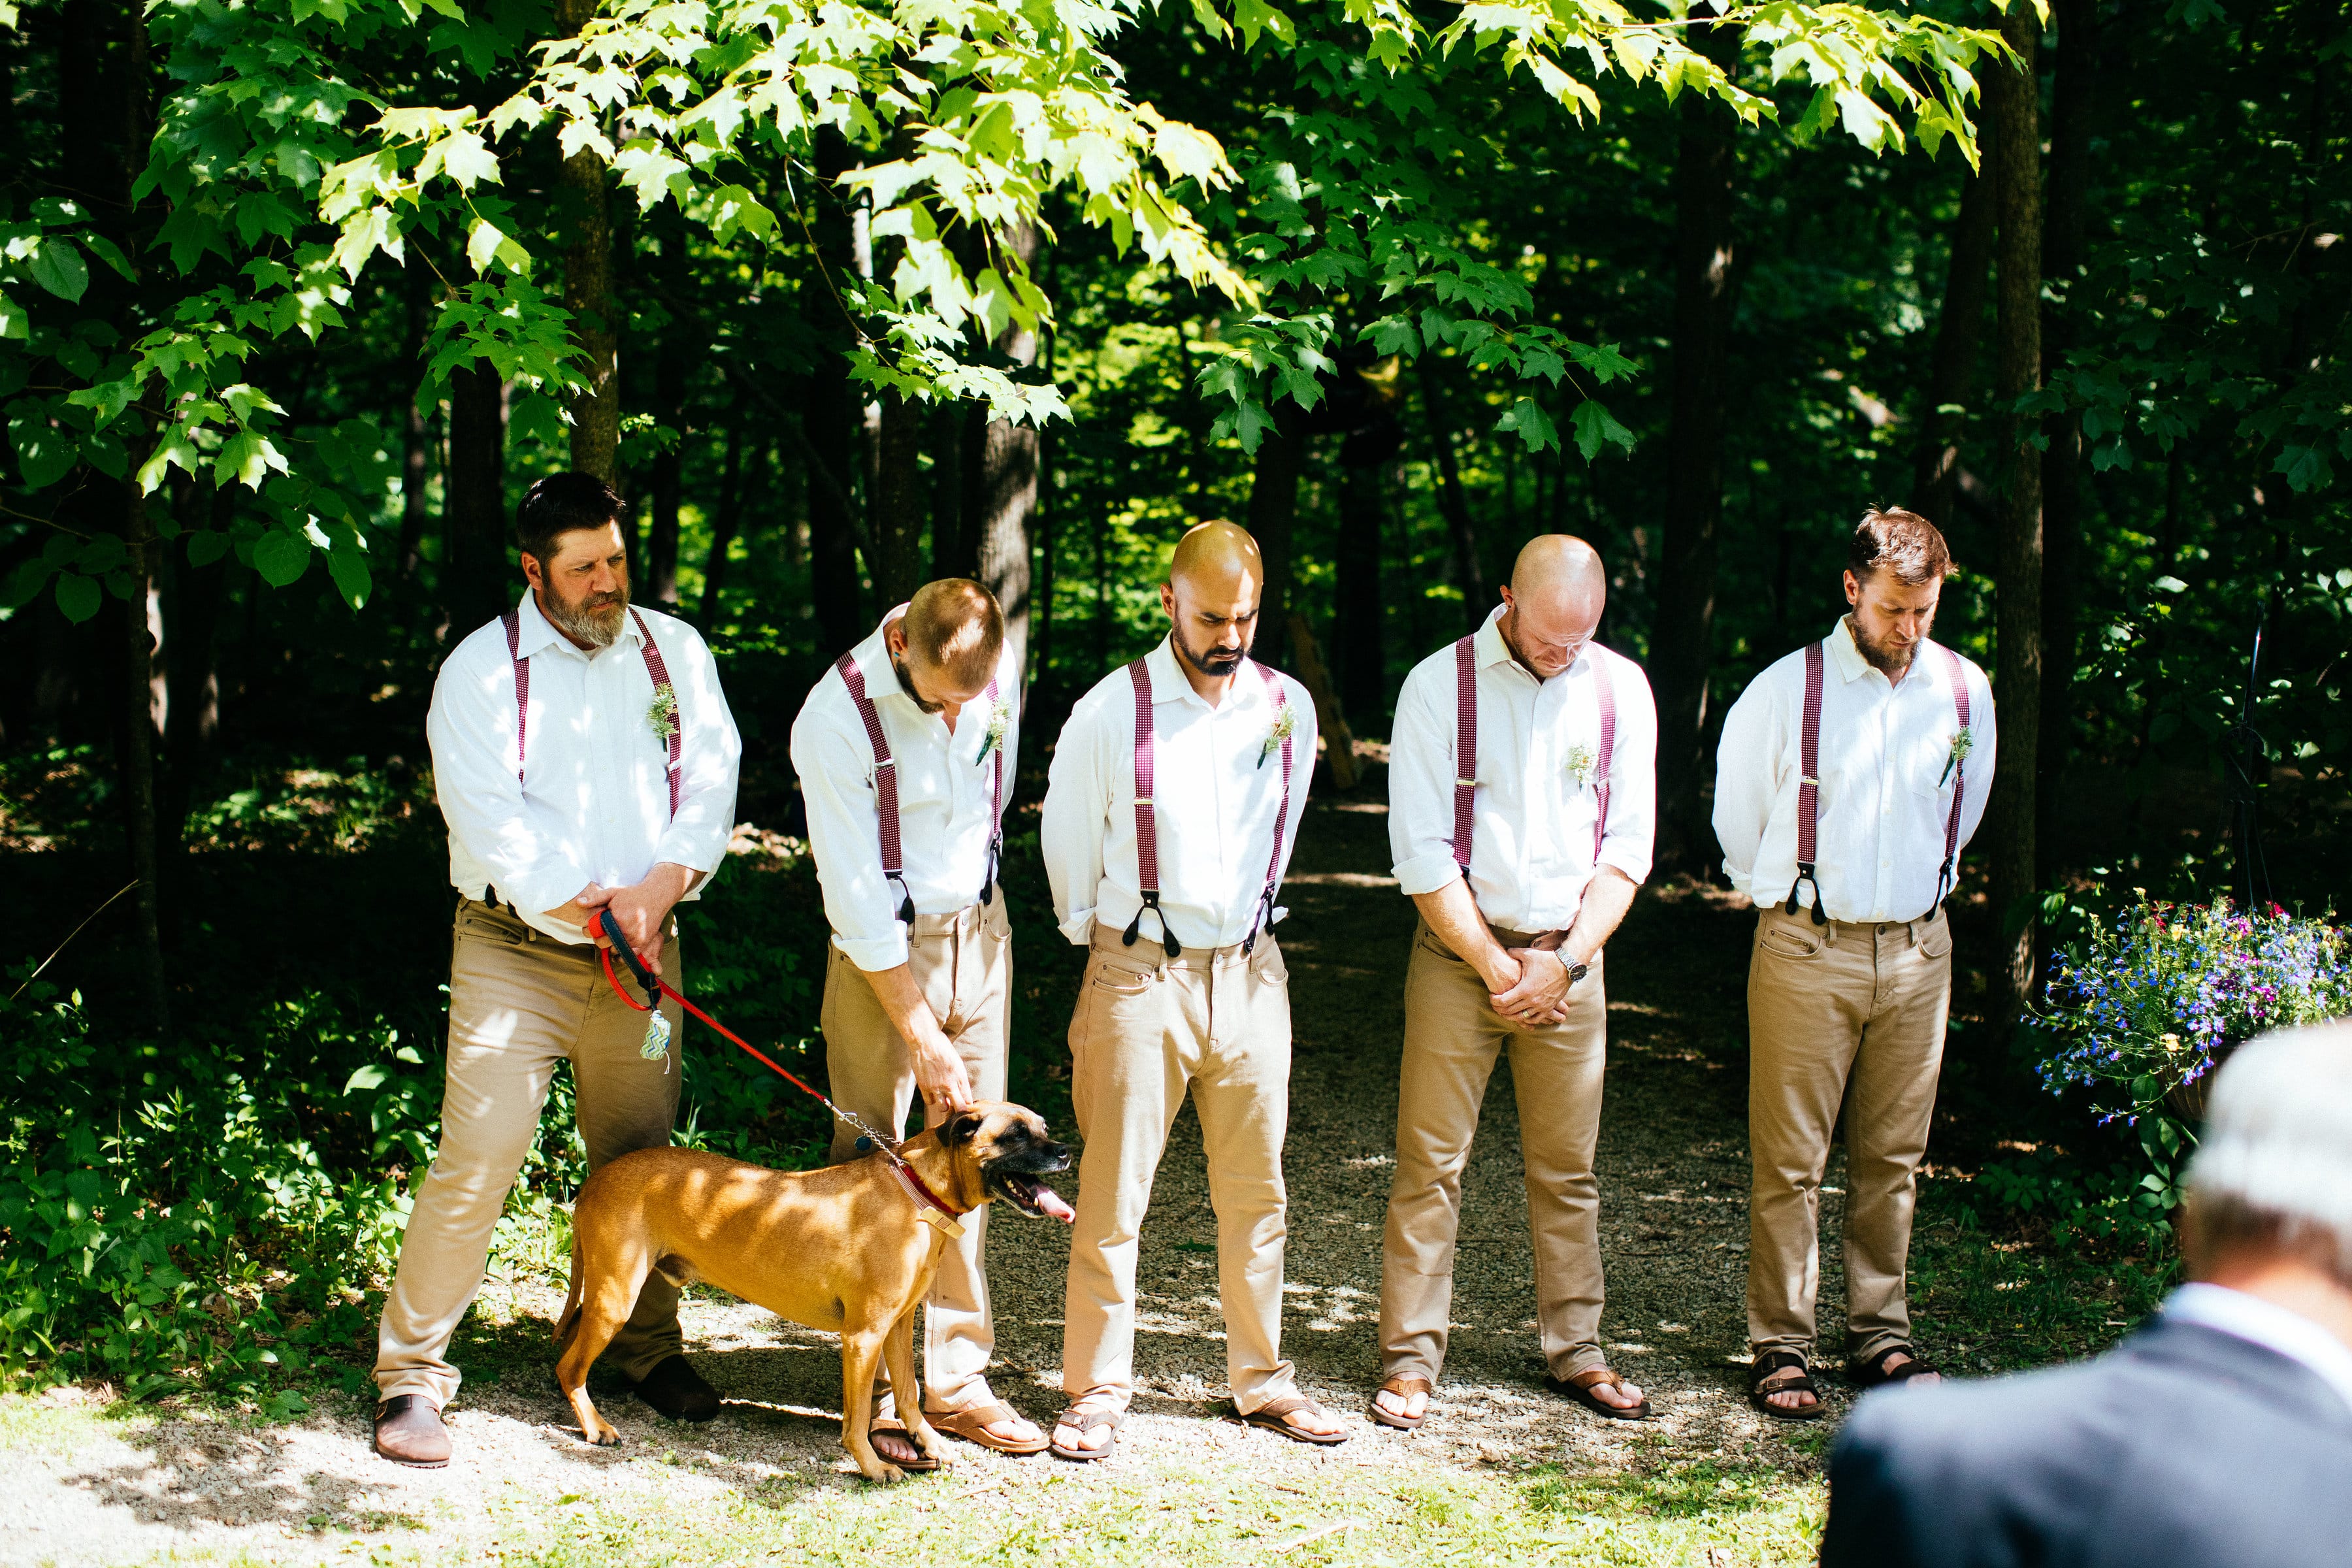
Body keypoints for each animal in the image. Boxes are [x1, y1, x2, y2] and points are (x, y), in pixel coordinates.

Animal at [555, 1100, 1072, 1476]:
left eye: (1044, 1127)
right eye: (1016, 1133)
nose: (1067, 1150)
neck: (918, 1192)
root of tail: (594, 1180)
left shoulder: (898, 1327)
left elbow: (909, 1396)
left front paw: (930, 1443)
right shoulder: (862, 1338)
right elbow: (857, 1420)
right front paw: (873, 1468)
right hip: (614, 1298)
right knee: (569, 1367)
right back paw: (595, 1426)